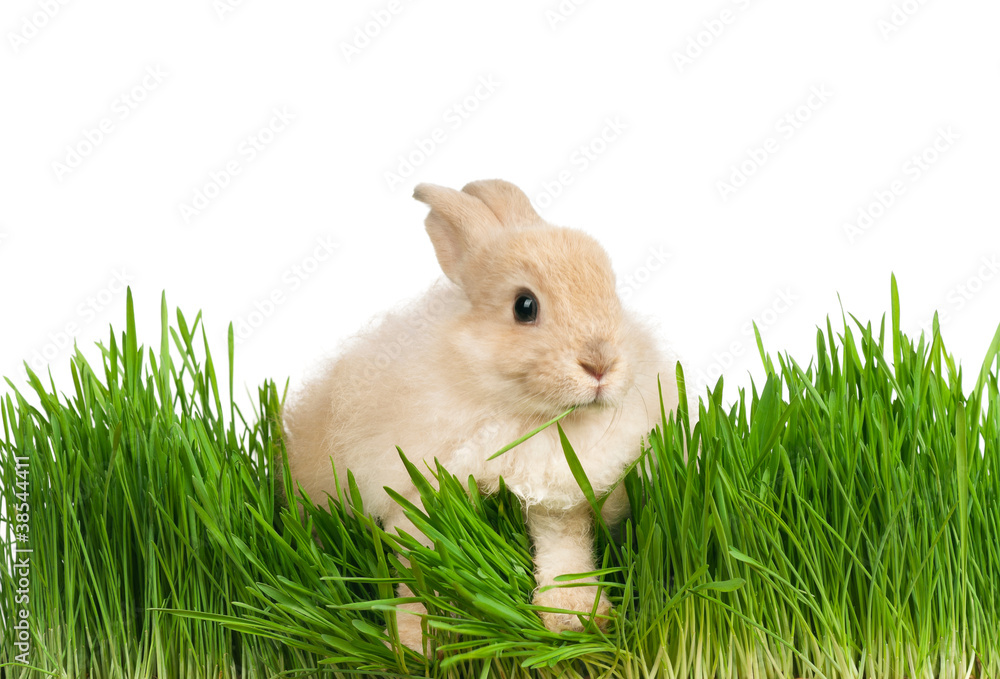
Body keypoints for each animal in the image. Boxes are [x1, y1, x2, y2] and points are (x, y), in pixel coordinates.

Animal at [282, 178, 680, 653]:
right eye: (524, 306)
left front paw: (575, 619)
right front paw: (417, 643)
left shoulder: (558, 502)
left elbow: (565, 555)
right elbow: (418, 574)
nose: (601, 364)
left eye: (612, 294)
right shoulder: (416, 498)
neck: (525, 416)